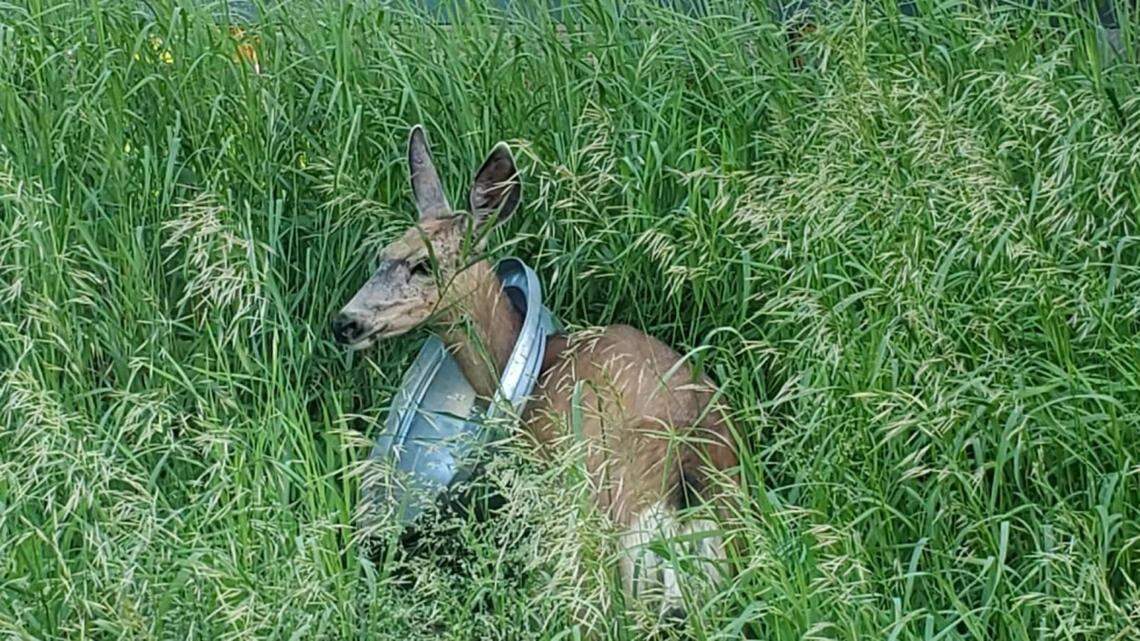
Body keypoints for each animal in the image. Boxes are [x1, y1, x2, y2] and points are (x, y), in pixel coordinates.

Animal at [331, 125, 738, 618]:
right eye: (382, 254)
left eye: (423, 265)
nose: (345, 322)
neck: (535, 364)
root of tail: (686, 455)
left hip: (598, 511)